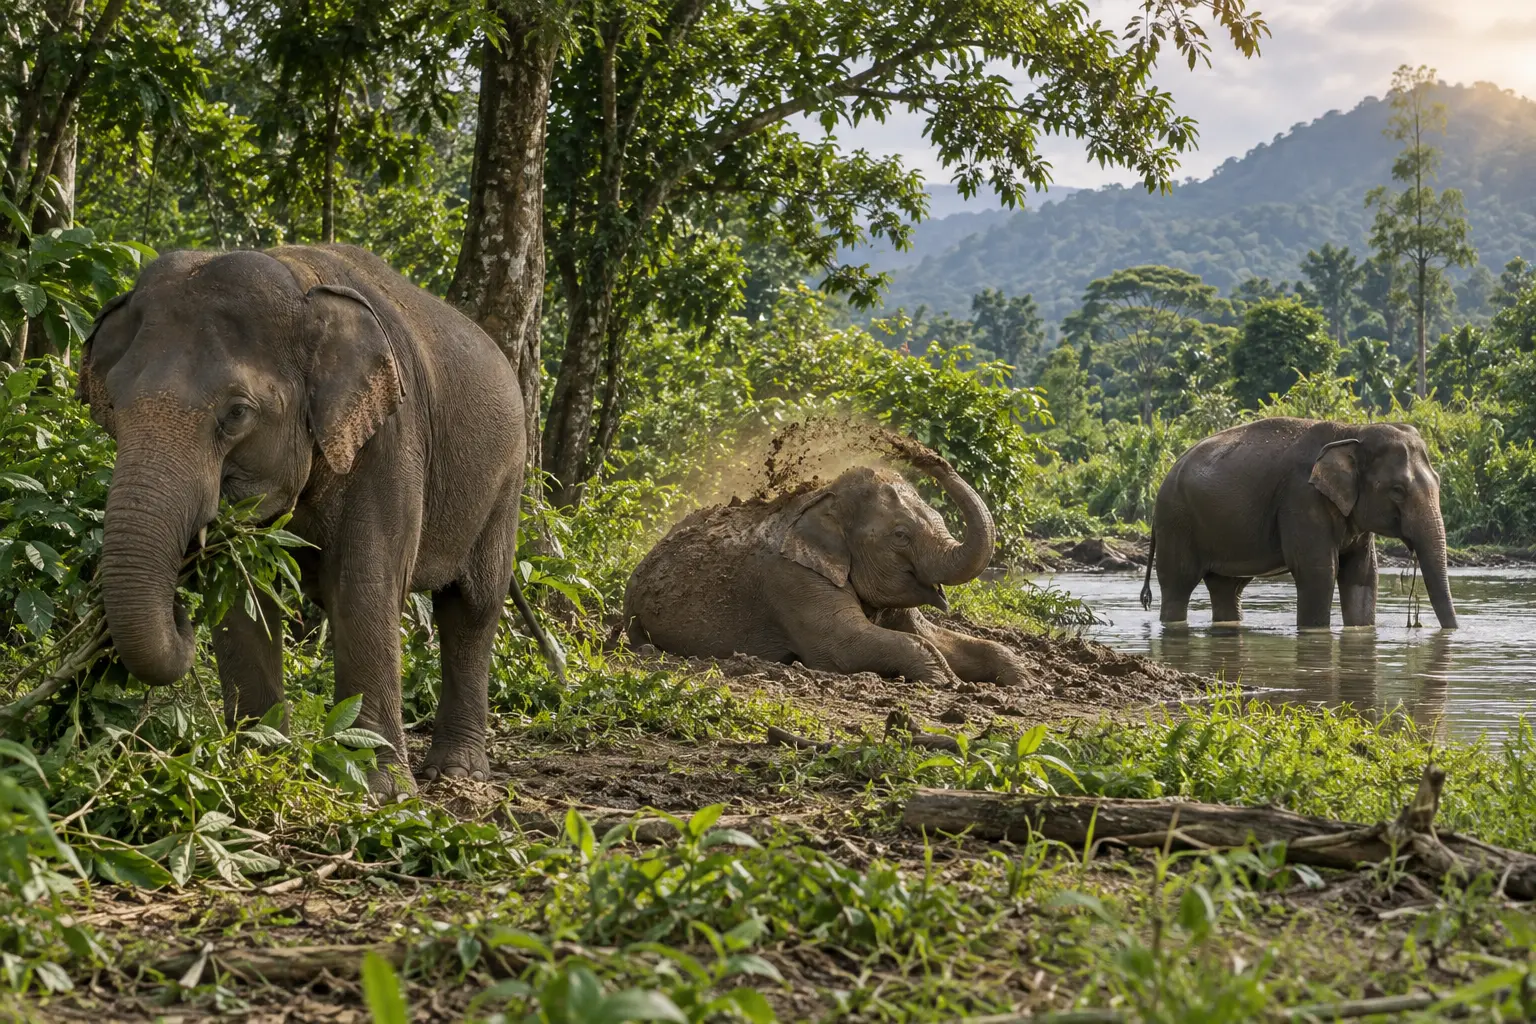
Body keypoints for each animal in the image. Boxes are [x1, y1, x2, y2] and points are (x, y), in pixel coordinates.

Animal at [79, 243, 542, 795]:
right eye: (113, 406)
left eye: (237, 413)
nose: (177, 608)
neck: (300, 284)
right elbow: (241, 596)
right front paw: (257, 764)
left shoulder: (391, 439)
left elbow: (364, 587)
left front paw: (378, 789)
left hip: (506, 480)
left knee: (471, 608)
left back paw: (455, 773)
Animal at [622, 449, 1031, 687]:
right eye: (900, 536)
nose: (922, 453)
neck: (822, 500)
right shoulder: (792, 581)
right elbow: (843, 646)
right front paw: (945, 681)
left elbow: (935, 637)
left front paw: (1021, 681)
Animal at [1139, 417, 1457, 631]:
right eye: (1397, 490)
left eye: (1439, 481)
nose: (1450, 631)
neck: (1351, 432)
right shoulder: (1301, 498)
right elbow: (1318, 572)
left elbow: (1363, 575)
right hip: (1176, 522)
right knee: (1178, 584)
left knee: (1226, 588)